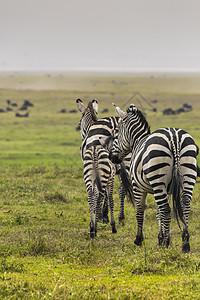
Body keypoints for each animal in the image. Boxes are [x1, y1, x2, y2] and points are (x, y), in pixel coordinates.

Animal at [109, 102, 198, 252]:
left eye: (116, 133)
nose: (111, 157)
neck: (137, 141)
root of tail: (174, 137)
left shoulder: (138, 186)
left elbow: (140, 212)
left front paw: (140, 239)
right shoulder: (166, 189)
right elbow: (158, 212)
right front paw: (160, 238)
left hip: (158, 178)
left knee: (166, 210)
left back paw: (167, 243)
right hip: (188, 174)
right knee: (185, 205)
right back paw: (185, 243)